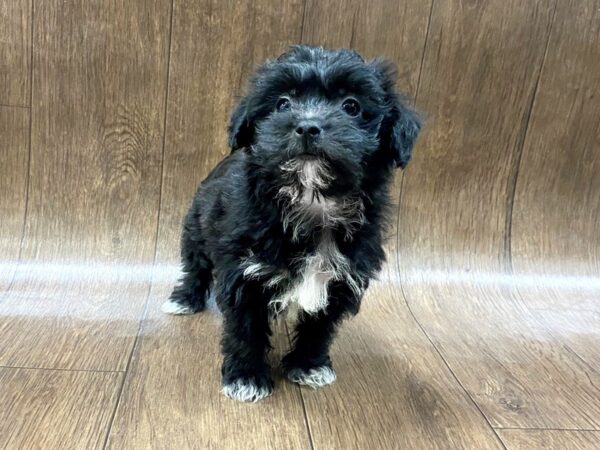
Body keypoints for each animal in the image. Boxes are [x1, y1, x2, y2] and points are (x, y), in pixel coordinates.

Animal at [162, 46, 420, 404]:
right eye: (283, 103)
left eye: (351, 106)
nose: (308, 126)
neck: (312, 202)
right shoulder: (244, 272)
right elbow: (244, 328)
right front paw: (246, 377)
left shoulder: (341, 280)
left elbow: (319, 327)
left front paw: (308, 365)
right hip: (196, 226)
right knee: (196, 266)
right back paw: (185, 299)